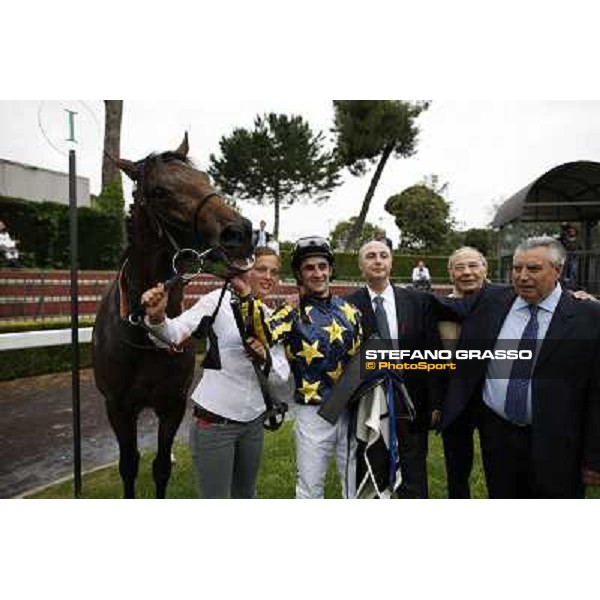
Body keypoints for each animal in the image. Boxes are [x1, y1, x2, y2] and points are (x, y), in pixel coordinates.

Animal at [93, 135, 253, 496]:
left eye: (206, 178)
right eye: (159, 192)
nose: (239, 232)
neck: (142, 333)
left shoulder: (173, 405)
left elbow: (161, 466)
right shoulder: (117, 408)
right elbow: (129, 465)